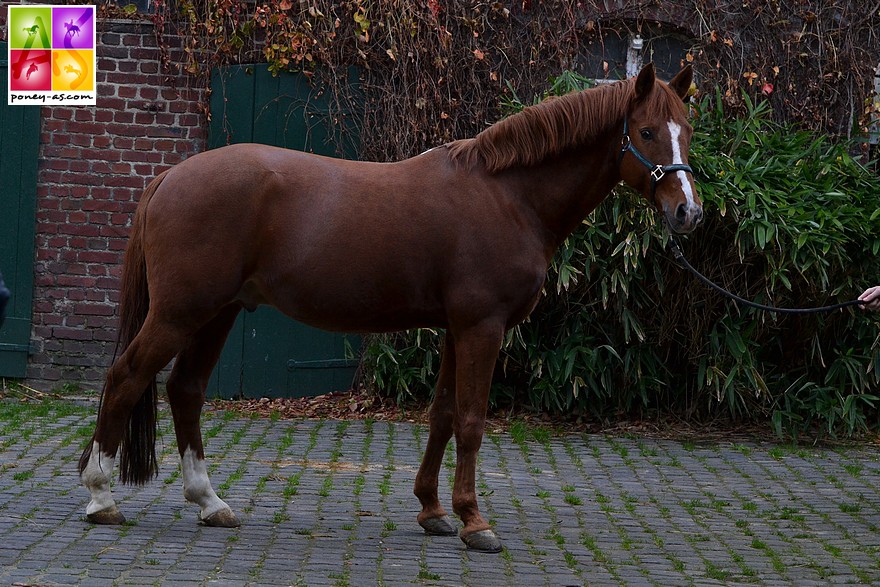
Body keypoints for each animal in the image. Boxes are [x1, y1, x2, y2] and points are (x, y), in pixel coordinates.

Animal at [79, 64, 704, 556]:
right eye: (647, 132)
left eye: (688, 131)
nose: (688, 213)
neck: (508, 196)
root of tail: (170, 176)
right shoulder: (482, 327)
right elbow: (472, 421)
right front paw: (475, 522)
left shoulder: (456, 329)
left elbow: (442, 415)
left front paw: (433, 511)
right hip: (180, 313)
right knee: (126, 377)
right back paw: (102, 496)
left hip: (218, 313)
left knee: (184, 390)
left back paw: (210, 503)